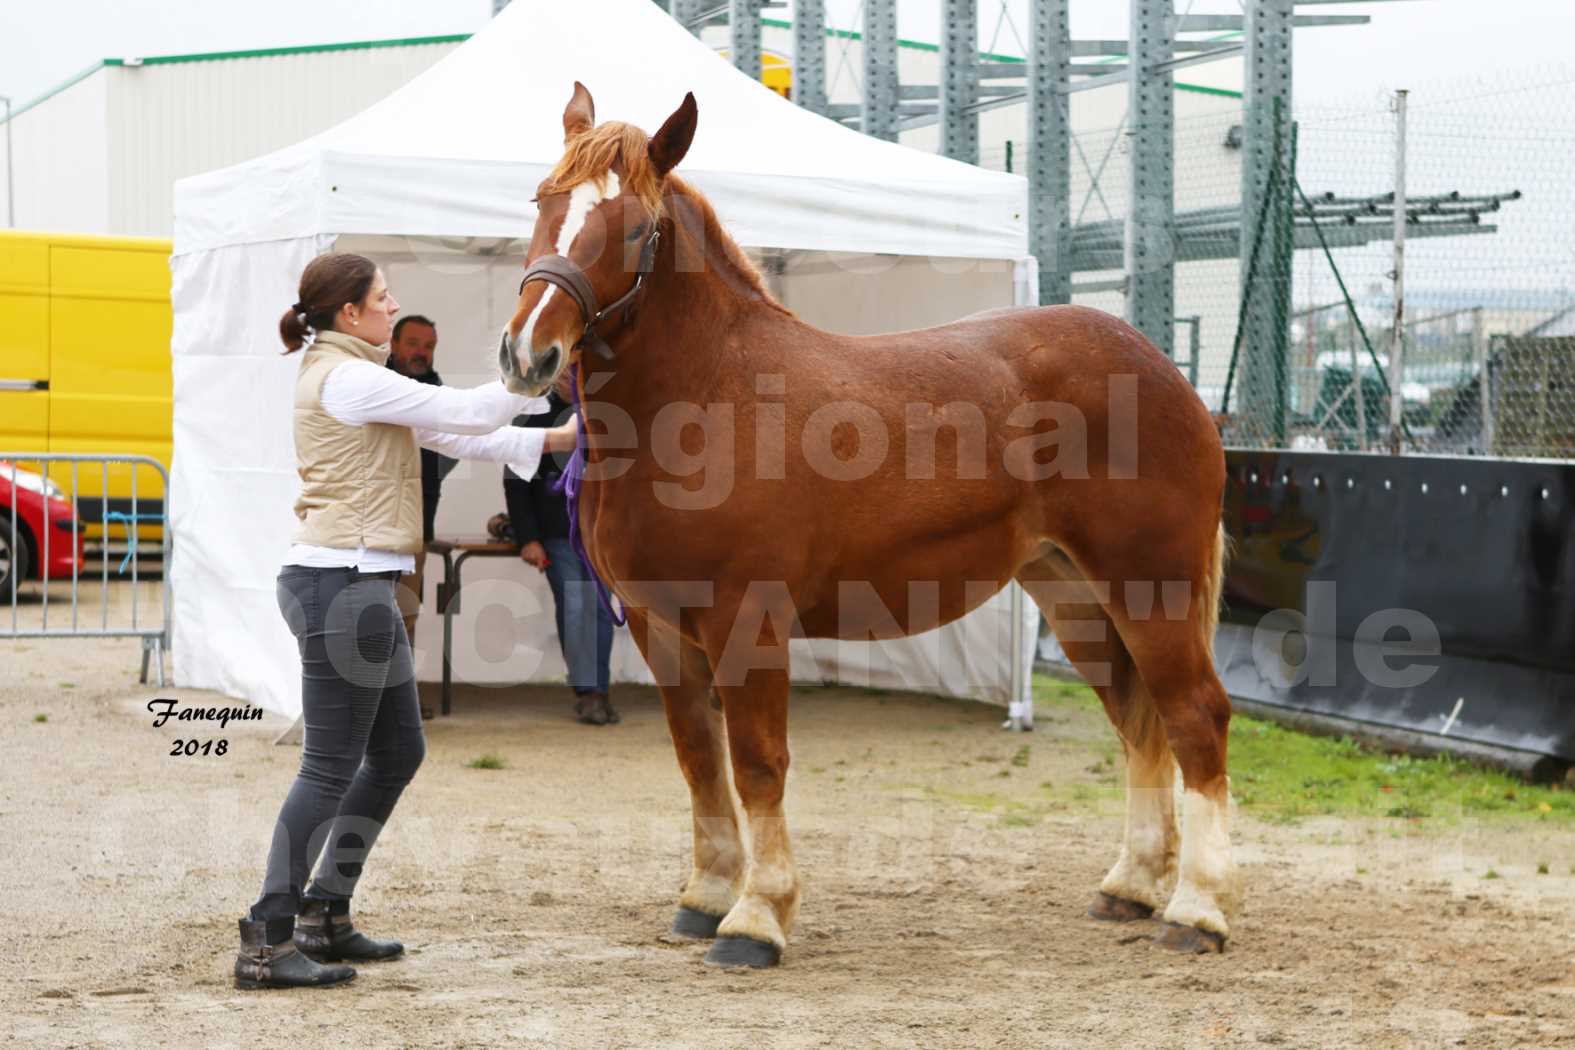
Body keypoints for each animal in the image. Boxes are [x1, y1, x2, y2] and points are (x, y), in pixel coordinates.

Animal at [497, 84, 1234, 969]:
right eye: (543, 201)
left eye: (637, 229)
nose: (527, 356)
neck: (707, 398)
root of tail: (1165, 371)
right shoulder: (658, 625)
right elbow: (698, 761)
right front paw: (705, 897)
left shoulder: (747, 621)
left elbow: (757, 763)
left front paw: (757, 919)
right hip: (1073, 593)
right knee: (1138, 720)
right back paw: (1129, 886)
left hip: (1150, 587)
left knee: (1195, 717)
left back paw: (1196, 911)